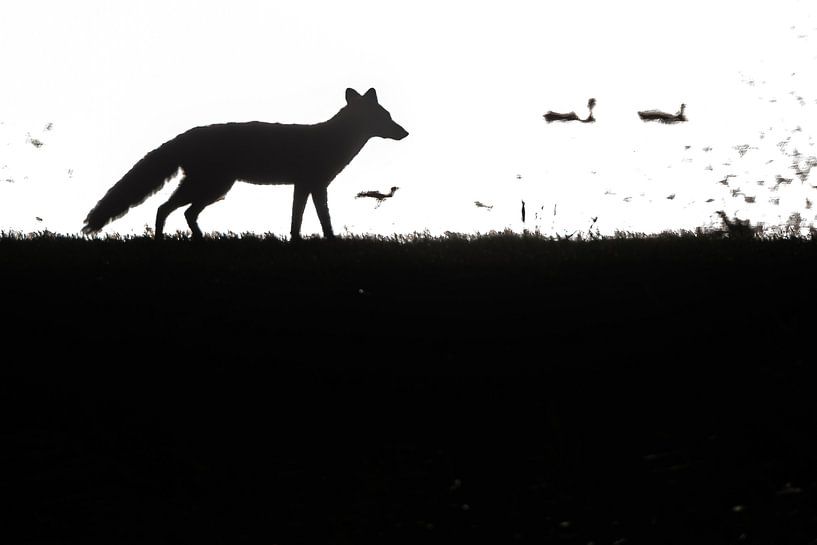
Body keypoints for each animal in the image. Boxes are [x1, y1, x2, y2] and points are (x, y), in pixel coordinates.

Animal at [82, 87, 408, 240]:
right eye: (387, 117)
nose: (405, 133)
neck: (333, 140)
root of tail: (185, 135)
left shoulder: (303, 186)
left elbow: (297, 221)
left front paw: (296, 243)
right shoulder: (315, 185)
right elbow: (324, 220)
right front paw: (331, 242)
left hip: (214, 188)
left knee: (184, 213)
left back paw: (200, 241)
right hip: (210, 186)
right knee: (165, 208)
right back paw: (163, 242)